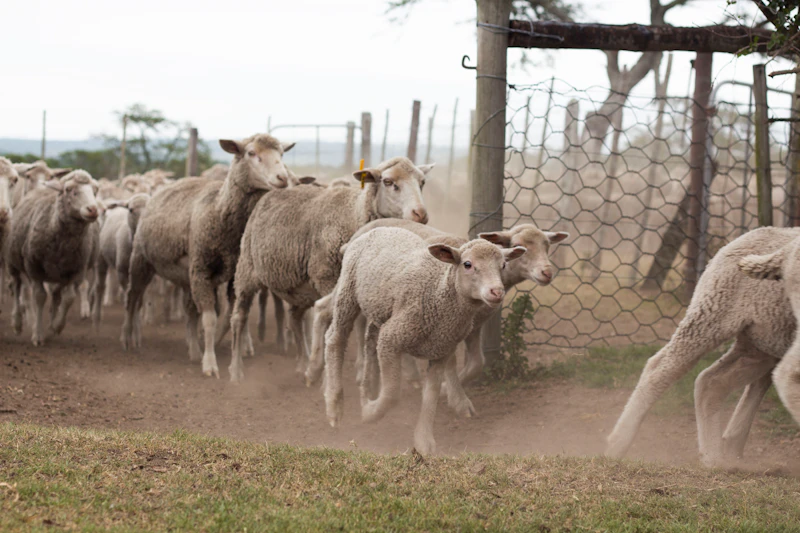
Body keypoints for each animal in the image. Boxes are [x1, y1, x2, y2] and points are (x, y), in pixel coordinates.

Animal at [6, 170, 100, 346]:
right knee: (16, 287)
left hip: (59, 274)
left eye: (95, 191)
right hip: (13, 262)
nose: (93, 209)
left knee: (56, 295)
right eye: (69, 190)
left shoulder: (76, 270)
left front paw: (56, 326)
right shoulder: (33, 268)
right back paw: (17, 324)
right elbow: (39, 296)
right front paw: (37, 335)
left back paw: (51, 324)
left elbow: (69, 298)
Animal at [122, 134, 295, 379]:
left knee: (189, 310)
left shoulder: (231, 276)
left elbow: (226, 315)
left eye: (281, 154)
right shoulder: (201, 270)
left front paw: (213, 346)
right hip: (141, 259)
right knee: (132, 296)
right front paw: (210, 364)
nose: (282, 178)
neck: (219, 211)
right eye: (251, 153)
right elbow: (210, 319)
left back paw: (194, 348)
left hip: (188, 275)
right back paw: (128, 339)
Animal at [228, 157, 433, 383]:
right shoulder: (328, 277)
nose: (420, 214)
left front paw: (361, 370)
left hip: (300, 288)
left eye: (422, 182)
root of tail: (273, 192)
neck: (354, 214)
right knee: (239, 317)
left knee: (295, 319)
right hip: (247, 269)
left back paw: (303, 363)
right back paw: (236, 371)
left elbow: (360, 324)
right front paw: (334, 373)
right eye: (388, 182)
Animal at [323, 227, 526, 454]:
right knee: (335, 338)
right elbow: (392, 393)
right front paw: (369, 412)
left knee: (369, 338)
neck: (438, 293)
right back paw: (334, 406)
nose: (497, 292)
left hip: (380, 310)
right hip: (347, 291)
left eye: (503, 265)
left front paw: (423, 443)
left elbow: (431, 397)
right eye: (467, 264)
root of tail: (379, 228)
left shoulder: (441, 351)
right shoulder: (391, 339)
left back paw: (368, 386)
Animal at [606, 226, 798, 467]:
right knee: (662, 367)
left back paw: (715, 457)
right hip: (714, 313)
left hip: (764, 339)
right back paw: (618, 443)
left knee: (711, 381)